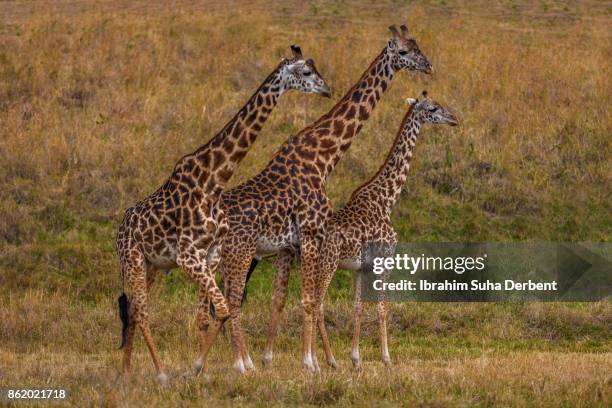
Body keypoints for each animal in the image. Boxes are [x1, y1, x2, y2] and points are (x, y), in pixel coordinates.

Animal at [112, 46, 328, 384]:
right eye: (305, 72)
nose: (327, 89)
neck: (214, 180)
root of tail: (120, 228)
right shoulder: (188, 255)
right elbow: (224, 308)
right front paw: (203, 367)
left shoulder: (210, 253)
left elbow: (221, 310)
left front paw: (203, 368)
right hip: (131, 258)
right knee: (142, 311)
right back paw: (159, 374)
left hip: (151, 265)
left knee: (134, 308)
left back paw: (126, 372)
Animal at [218, 23, 432, 372]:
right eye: (403, 52)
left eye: (417, 46)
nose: (428, 66)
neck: (323, 156)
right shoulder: (309, 234)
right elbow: (309, 299)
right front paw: (311, 362)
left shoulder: (290, 245)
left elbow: (284, 299)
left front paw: (277, 359)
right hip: (239, 254)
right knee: (229, 299)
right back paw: (238, 362)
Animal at [253, 91, 460, 370]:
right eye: (433, 108)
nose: (453, 119)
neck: (386, 199)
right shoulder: (386, 259)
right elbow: (382, 308)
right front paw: (387, 360)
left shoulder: (361, 267)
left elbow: (358, 307)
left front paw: (356, 359)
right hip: (327, 263)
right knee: (316, 303)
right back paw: (319, 361)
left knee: (300, 301)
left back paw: (314, 360)